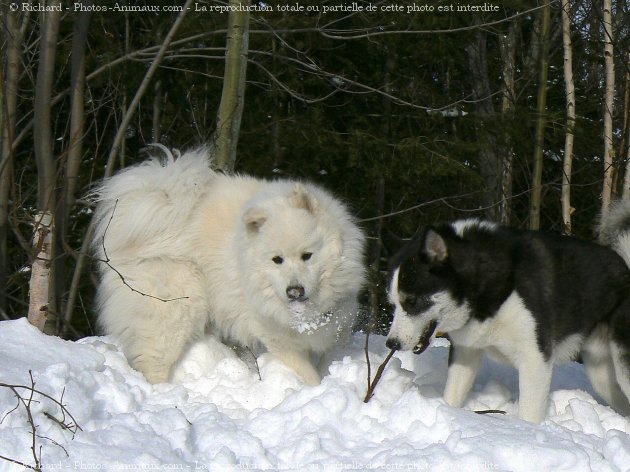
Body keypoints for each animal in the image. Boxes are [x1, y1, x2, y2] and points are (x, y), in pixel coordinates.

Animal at [89, 149, 366, 386]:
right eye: (277, 260)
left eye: (307, 256)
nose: (294, 291)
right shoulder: (279, 339)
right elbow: (308, 375)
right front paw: (315, 389)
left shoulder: (336, 326)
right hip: (174, 309)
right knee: (153, 361)